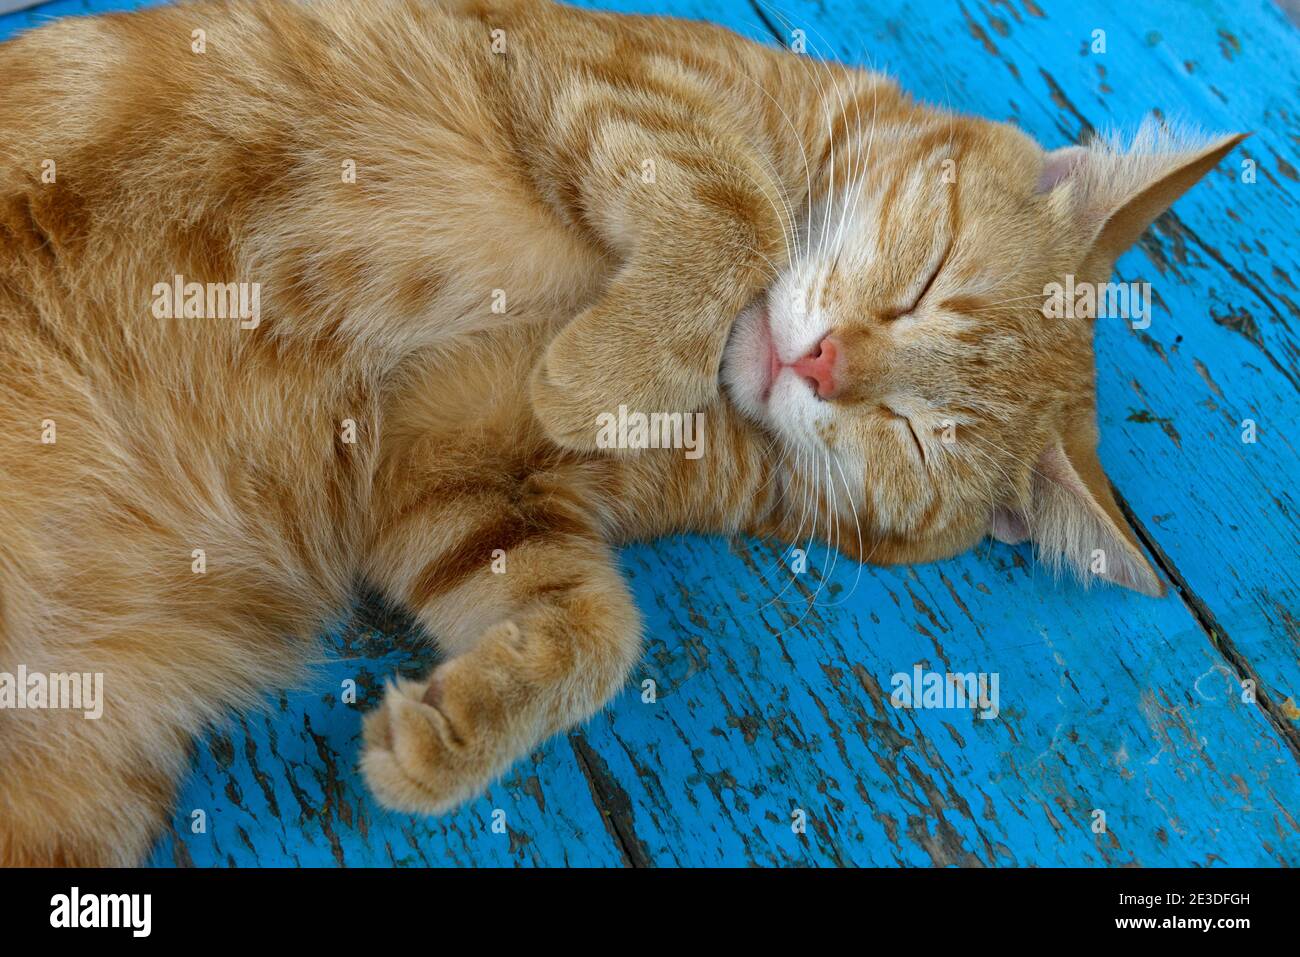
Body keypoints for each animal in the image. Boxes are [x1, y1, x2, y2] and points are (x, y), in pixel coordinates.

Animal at [0, 0, 1237, 863]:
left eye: (918, 437)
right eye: (929, 284)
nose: (823, 363)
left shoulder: (455, 471)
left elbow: (598, 633)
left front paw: (454, 735)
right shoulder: (608, 75)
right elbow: (740, 210)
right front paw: (609, 369)